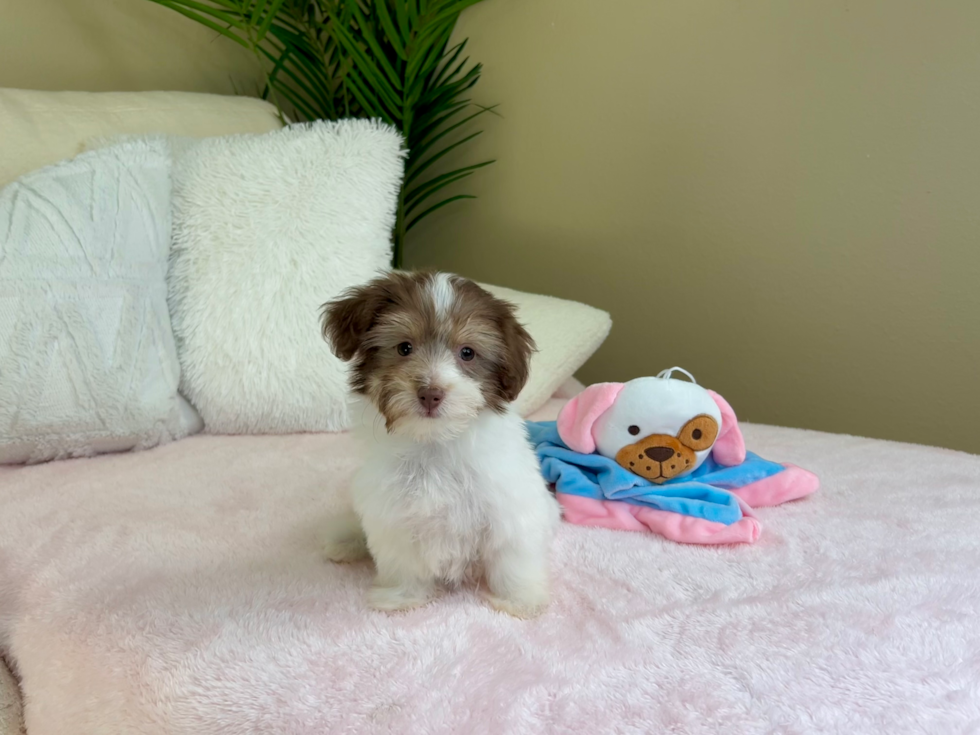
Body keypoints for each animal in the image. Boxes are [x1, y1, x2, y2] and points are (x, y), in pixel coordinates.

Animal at [320, 270, 560, 616]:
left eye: (468, 353)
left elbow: (512, 556)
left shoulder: (509, 505)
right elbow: (401, 559)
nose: (430, 393)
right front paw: (401, 597)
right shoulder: (392, 512)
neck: (434, 442)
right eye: (404, 347)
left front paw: (520, 599)